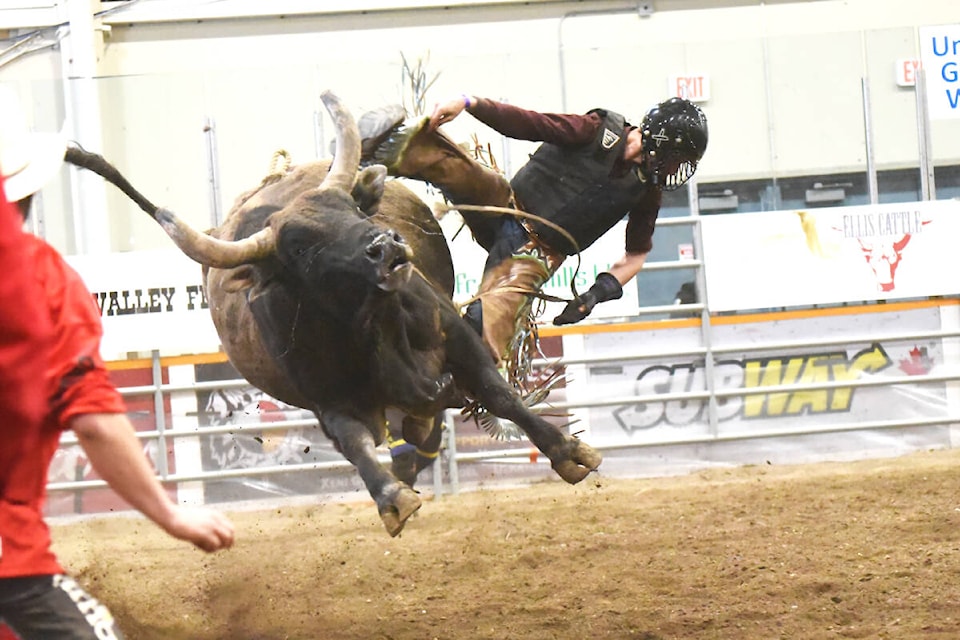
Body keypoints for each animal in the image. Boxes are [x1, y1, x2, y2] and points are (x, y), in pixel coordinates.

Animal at [69, 91, 600, 536]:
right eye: (301, 249)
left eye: (354, 209)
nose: (387, 247)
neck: (373, 328)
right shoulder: (326, 401)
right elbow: (355, 443)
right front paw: (391, 497)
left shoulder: (456, 335)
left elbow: (499, 393)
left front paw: (567, 450)